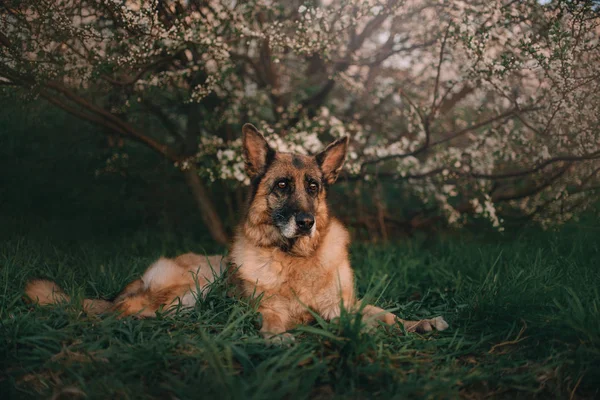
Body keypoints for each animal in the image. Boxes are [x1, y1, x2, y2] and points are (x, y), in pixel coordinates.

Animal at [25, 124, 448, 340]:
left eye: (313, 187)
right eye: (282, 186)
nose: (306, 222)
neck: (294, 260)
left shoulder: (343, 309)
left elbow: (385, 314)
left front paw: (417, 323)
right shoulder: (266, 309)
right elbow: (272, 322)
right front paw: (278, 338)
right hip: (191, 284)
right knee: (123, 312)